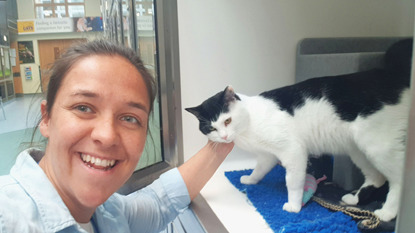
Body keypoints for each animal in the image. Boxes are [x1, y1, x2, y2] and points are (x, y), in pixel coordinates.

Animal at [188, 38, 412, 222]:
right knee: (377, 177)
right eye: (211, 127)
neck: (249, 122)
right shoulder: (268, 155)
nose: (224, 136)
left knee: (399, 180)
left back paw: (387, 212)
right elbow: (260, 169)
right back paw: (353, 201)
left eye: (227, 121)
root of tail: (392, 76)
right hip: (358, 150)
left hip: (378, 147)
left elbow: (293, 182)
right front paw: (250, 179)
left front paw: (294, 206)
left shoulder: (293, 151)